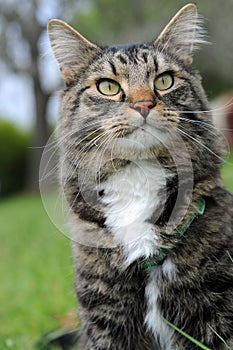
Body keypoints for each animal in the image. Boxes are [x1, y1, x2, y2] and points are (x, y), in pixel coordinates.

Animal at [47, 3, 233, 350]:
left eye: (164, 80)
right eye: (108, 86)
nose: (144, 103)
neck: (138, 175)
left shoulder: (218, 312)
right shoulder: (106, 322)